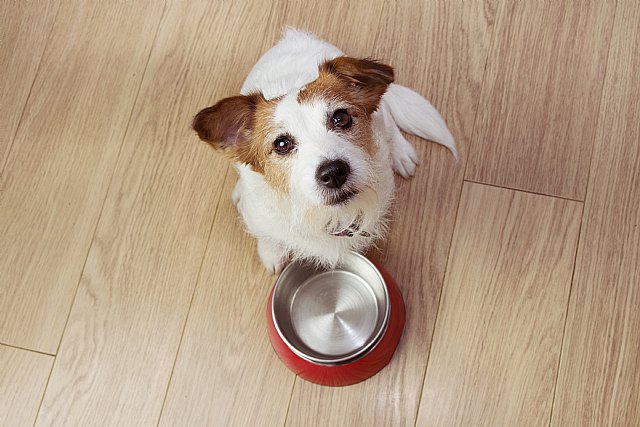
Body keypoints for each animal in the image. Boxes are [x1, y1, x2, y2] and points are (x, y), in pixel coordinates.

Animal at [192, 29, 458, 274]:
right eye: (281, 144)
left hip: (381, 115)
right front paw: (271, 252)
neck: (323, 214)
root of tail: (293, 35)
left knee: (390, 119)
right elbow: (266, 235)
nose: (333, 172)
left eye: (341, 118)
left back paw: (402, 153)